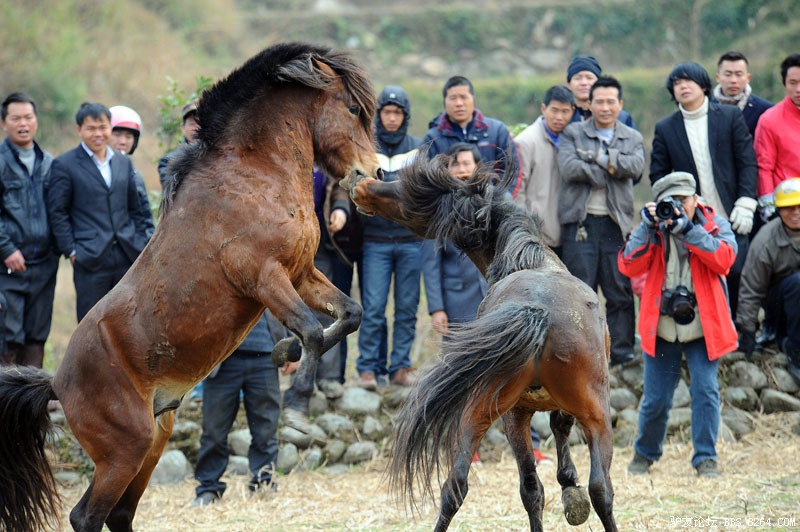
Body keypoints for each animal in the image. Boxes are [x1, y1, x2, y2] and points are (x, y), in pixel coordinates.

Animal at [0, 42, 380, 532]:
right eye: (352, 108)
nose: (373, 173)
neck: (255, 174)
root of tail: (57, 384)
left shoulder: (300, 273)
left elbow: (349, 315)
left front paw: (283, 352)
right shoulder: (264, 277)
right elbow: (313, 331)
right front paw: (297, 410)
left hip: (152, 445)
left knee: (117, 513)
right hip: (125, 450)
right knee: (86, 516)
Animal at [344, 155, 620, 532]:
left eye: (407, 191)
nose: (362, 181)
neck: (532, 260)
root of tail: (537, 308)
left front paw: (569, 488)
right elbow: (560, 429)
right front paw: (570, 488)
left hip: (486, 410)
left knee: (460, 485)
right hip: (567, 415)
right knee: (593, 489)